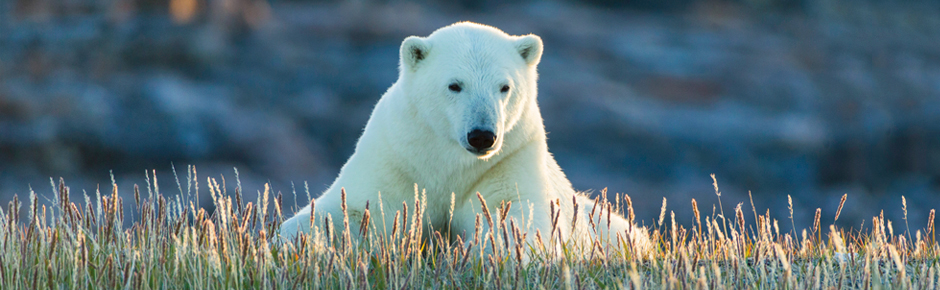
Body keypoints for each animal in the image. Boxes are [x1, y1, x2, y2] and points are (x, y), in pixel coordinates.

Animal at [278, 21, 648, 256]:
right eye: (455, 85)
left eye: (504, 86)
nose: (482, 135)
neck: (450, 160)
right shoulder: (396, 158)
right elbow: (351, 210)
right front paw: (289, 242)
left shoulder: (508, 159)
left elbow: (511, 215)